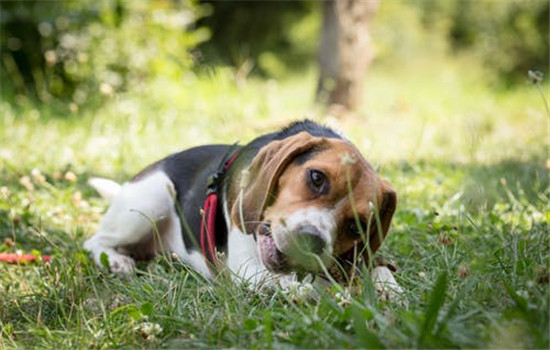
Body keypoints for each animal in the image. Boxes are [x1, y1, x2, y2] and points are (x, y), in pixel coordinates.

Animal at [84, 120, 404, 296]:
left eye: (356, 227)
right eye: (316, 177)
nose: (311, 240)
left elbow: (378, 269)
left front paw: (390, 290)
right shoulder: (246, 267)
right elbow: (307, 286)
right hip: (151, 199)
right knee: (94, 241)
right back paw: (116, 261)